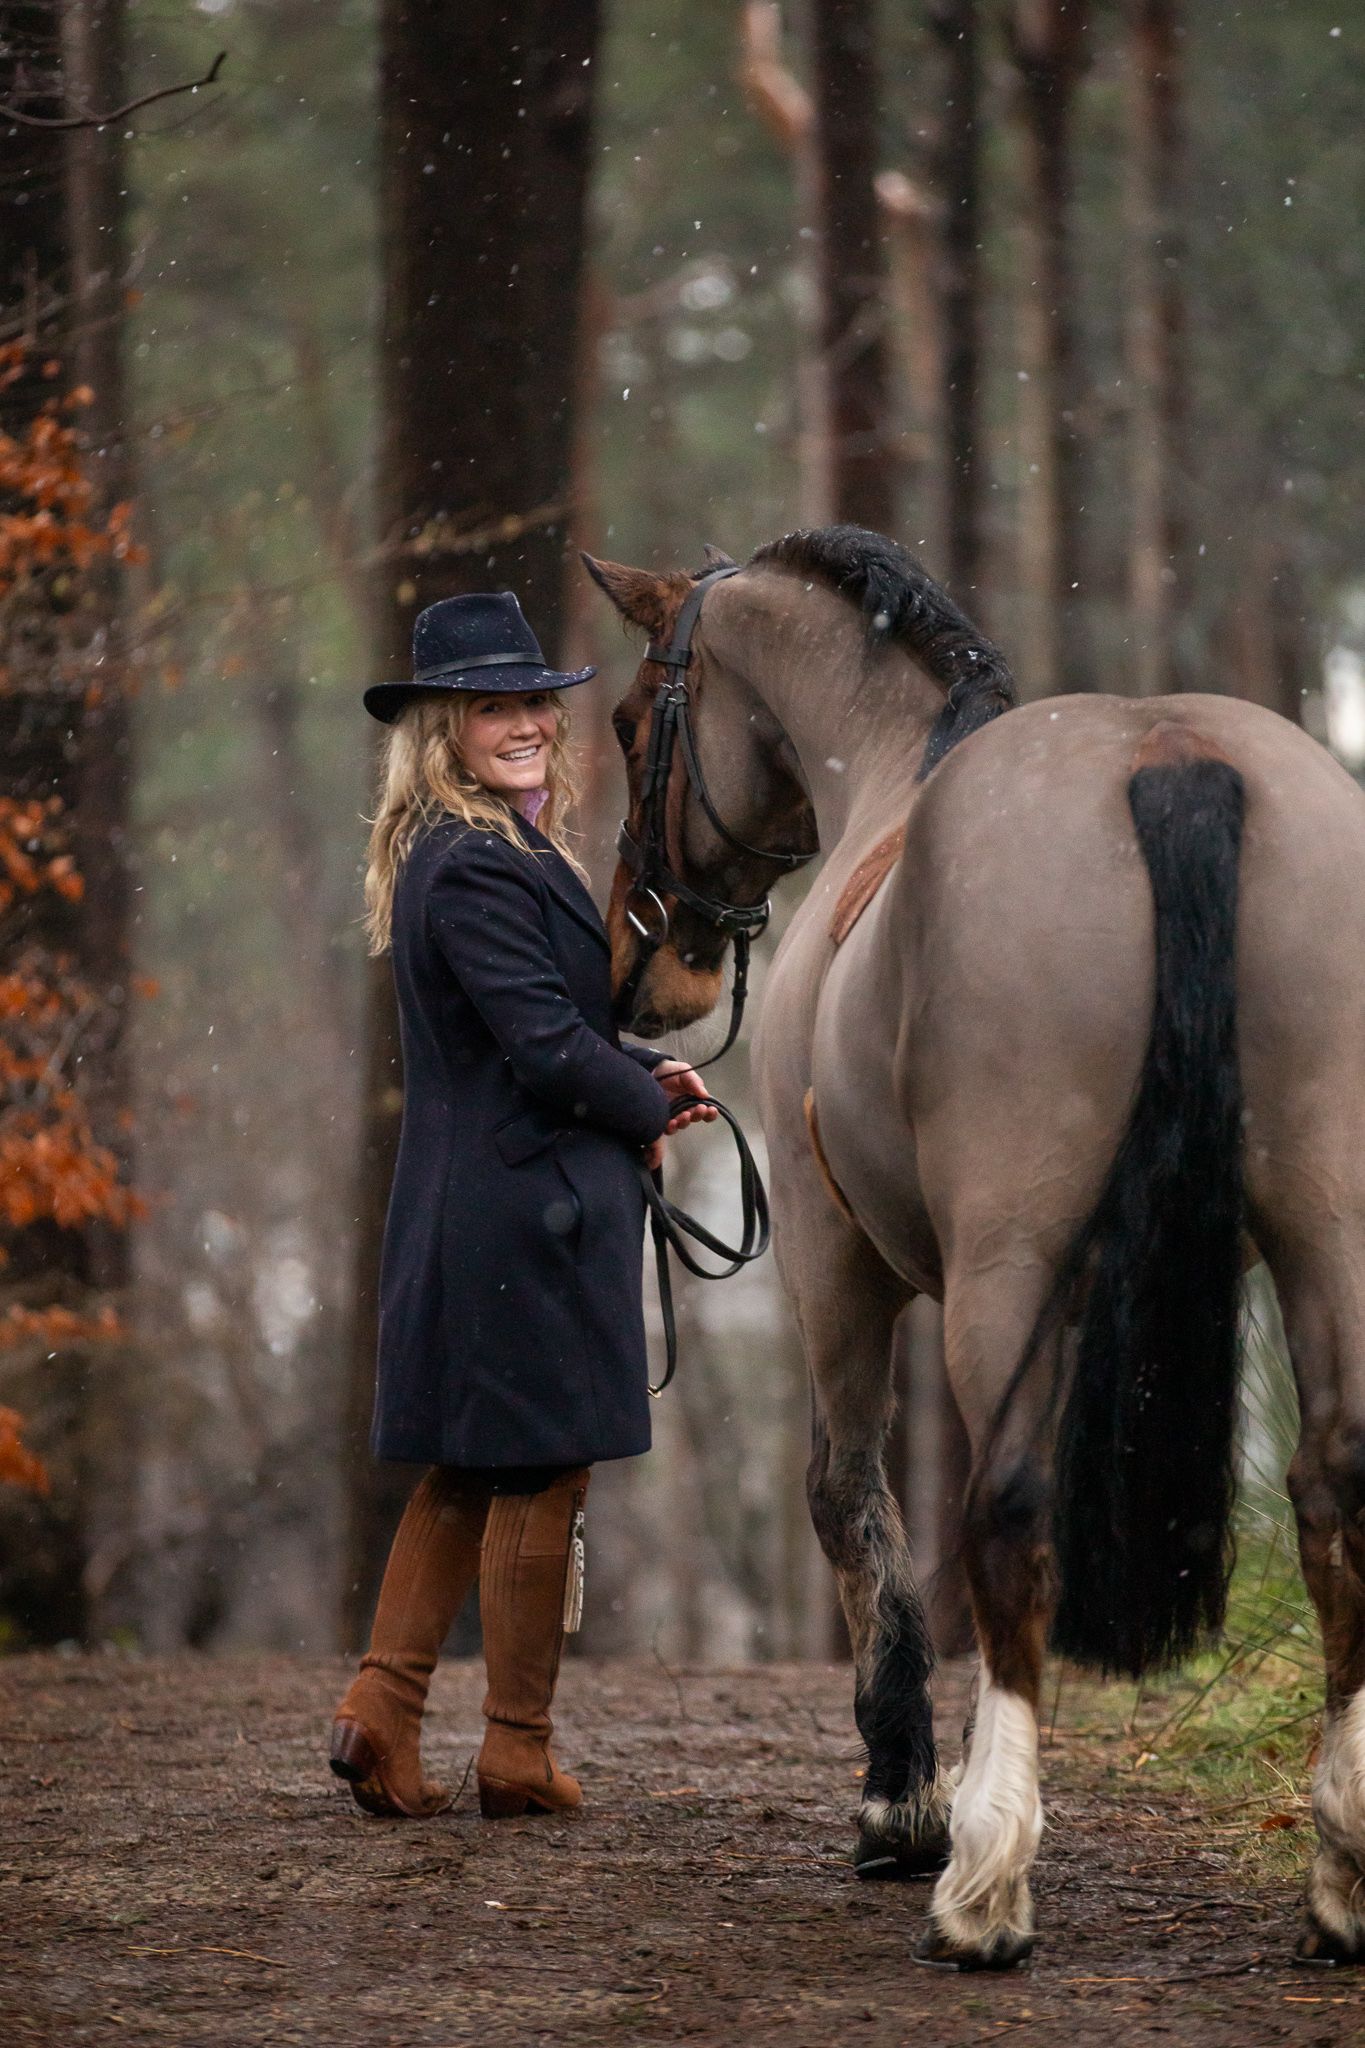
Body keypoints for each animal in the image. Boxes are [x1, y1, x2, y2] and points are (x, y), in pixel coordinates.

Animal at [584, 525, 1365, 1972]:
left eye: (626, 723)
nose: (640, 971)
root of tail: (1168, 757)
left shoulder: (835, 1263)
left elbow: (850, 1497)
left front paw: (900, 1802)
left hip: (1000, 1267)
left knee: (1003, 1510)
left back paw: (986, 1879)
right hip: (1323, 1235)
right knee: (1335, 1489)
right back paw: (1342, 1868)